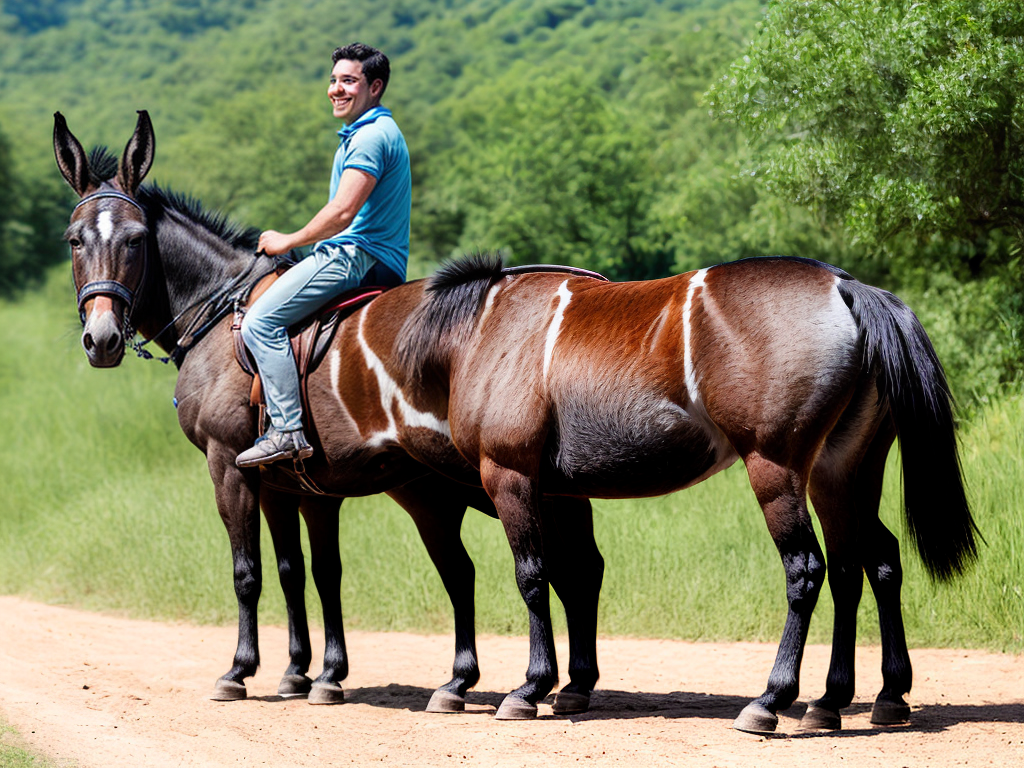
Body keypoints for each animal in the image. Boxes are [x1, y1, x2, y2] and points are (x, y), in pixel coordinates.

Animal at [53, 110, 605, 713]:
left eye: (135, 240)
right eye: (75, 240)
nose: (101, 338)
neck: (220, 314)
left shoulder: (228, 467)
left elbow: (248, 572)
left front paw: (240, 670)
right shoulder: (288, 486)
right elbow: (306, 573)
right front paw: (309, 672)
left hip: (501, 482)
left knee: (551, 569)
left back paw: (538, 683)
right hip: (447, 493)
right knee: (523, 570)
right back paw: (535, 682)